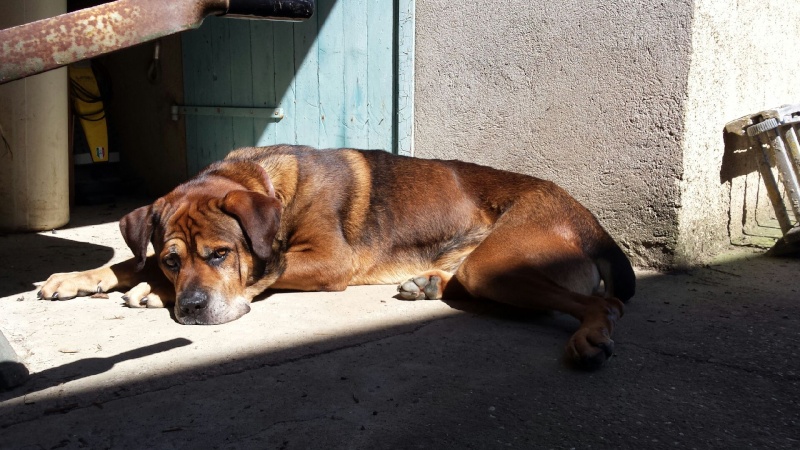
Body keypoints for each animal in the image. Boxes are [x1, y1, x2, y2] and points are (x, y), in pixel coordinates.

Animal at [40, 144, 636, 370]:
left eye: (221, 253)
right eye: (171, 258)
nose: (189, 309)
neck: (266, 186)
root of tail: (588, 217)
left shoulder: (327, 261)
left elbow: (265, 273)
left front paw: (147, 291)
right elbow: (129, 260)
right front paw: (82, 277)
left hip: (497, 264)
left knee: (605, 304)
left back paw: (590, 337)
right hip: (480, 267)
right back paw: (428, 283)